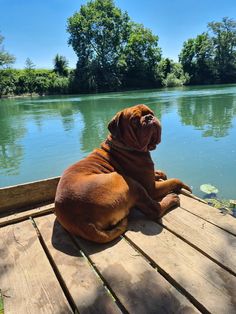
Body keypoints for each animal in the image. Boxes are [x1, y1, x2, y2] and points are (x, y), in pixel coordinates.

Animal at [55, 104, 192, 244]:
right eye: (135, 121)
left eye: (151, 113)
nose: (149, 117)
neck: (124, 146)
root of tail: (83, 222)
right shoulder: (152, 188)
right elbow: (174, 181)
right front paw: (184, 185)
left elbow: (157, 174)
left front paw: (159, 173)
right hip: (129, 182)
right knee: (155, 210)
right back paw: (172, 199)